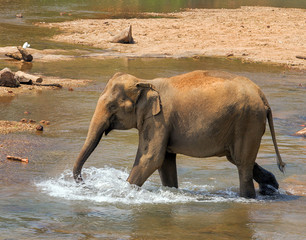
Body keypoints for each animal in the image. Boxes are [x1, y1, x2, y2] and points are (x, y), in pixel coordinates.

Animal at [73, 70, 286, 198]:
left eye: (111, 106)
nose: (84, 182)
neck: (144, 81)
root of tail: (262, 95)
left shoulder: (158, 119)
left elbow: (150, 158)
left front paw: (120, 194)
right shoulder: (160, 123)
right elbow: (164, 161)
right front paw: (170, 193)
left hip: (247, 121)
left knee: (242, 164)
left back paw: (248, 198)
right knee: (237, 159)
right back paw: (271, 187)